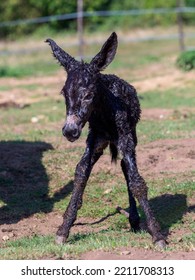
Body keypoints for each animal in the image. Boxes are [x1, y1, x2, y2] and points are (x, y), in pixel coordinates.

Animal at [46, 31, 166, 248]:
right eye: (64, 93)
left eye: (89, 95)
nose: (69, 131)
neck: (105, 114)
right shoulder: (94, 138)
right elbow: (81, 172)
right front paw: (64, 229)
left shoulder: (125, 137)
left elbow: (137, 181)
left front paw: (157, 235)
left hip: (131, 136)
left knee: (126, 168)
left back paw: (135, 220)